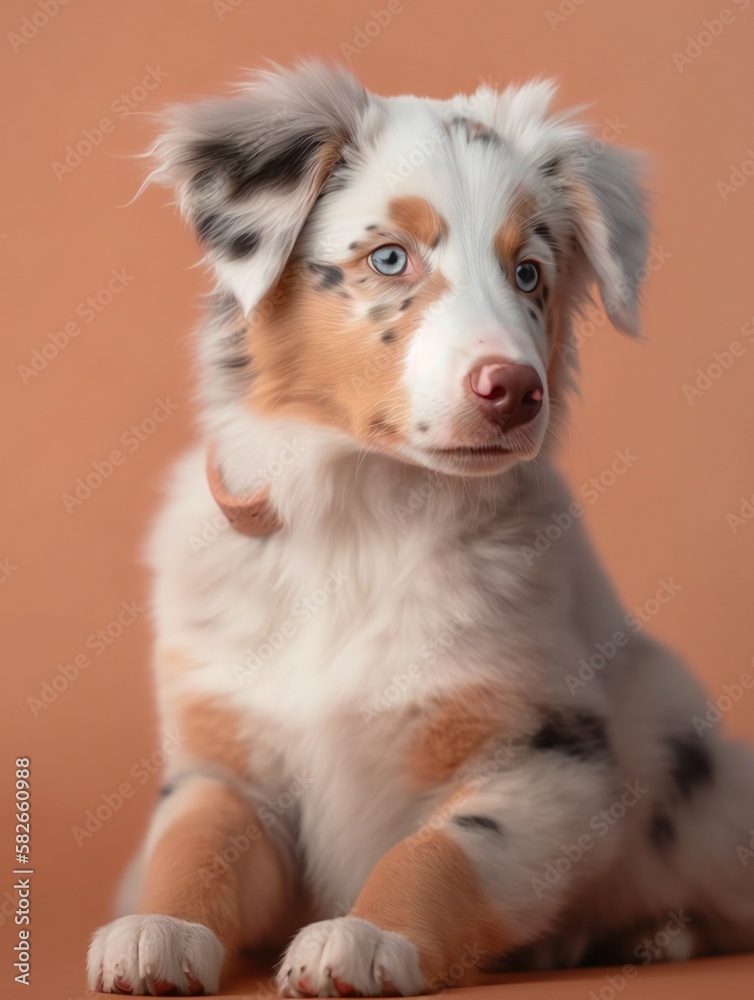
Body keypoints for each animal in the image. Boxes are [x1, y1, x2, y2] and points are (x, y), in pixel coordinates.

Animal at [86, 64, 752, 1000]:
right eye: (390, 258)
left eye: (529, 275)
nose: (515, 391)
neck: (357, 520)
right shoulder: (225, 755)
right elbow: (194, 840)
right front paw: (156, 930)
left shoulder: (547, 758)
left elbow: (443, 851)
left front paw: (363, 937)